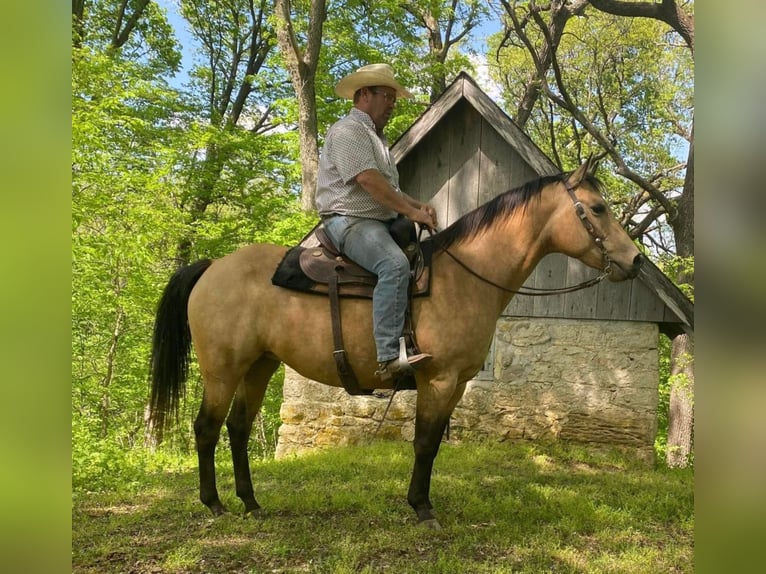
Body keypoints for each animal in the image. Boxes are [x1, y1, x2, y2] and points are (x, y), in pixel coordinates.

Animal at [148, 158, 640, 532]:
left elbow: (433, 443)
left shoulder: (457, 384)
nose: (635, 262)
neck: (464, 278)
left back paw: (251, 503)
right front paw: (422, 508)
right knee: (206, 428)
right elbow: (423, 443)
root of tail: (213, 267)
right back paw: (214, 504)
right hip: (222, 369)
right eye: (597, 208)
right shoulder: (437, 379)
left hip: (259, 366)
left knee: (238, 428)